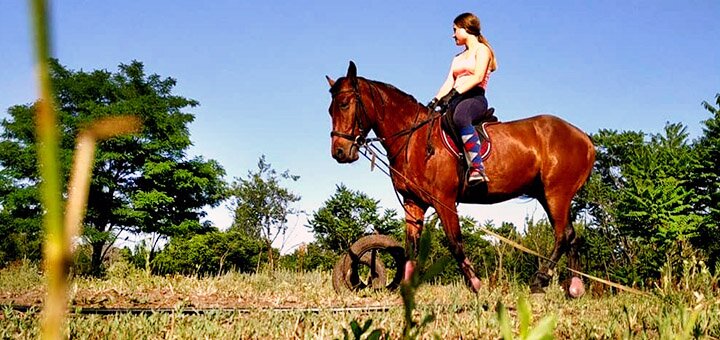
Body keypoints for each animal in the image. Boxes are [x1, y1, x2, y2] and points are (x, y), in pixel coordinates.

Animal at [328, 61, 596, 298]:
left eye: (344, 104)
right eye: (330, 110)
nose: (339, 152)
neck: (414, 139)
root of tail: (584, 138)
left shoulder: (444, 200)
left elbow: (455, 242)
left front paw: (476, 284)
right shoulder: (413, 203)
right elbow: (411, 247)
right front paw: (406, 288)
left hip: (556, 193)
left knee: (562, 236)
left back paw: (540, 280)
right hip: (547, 195)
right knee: (571, 235)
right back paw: (575, 287)